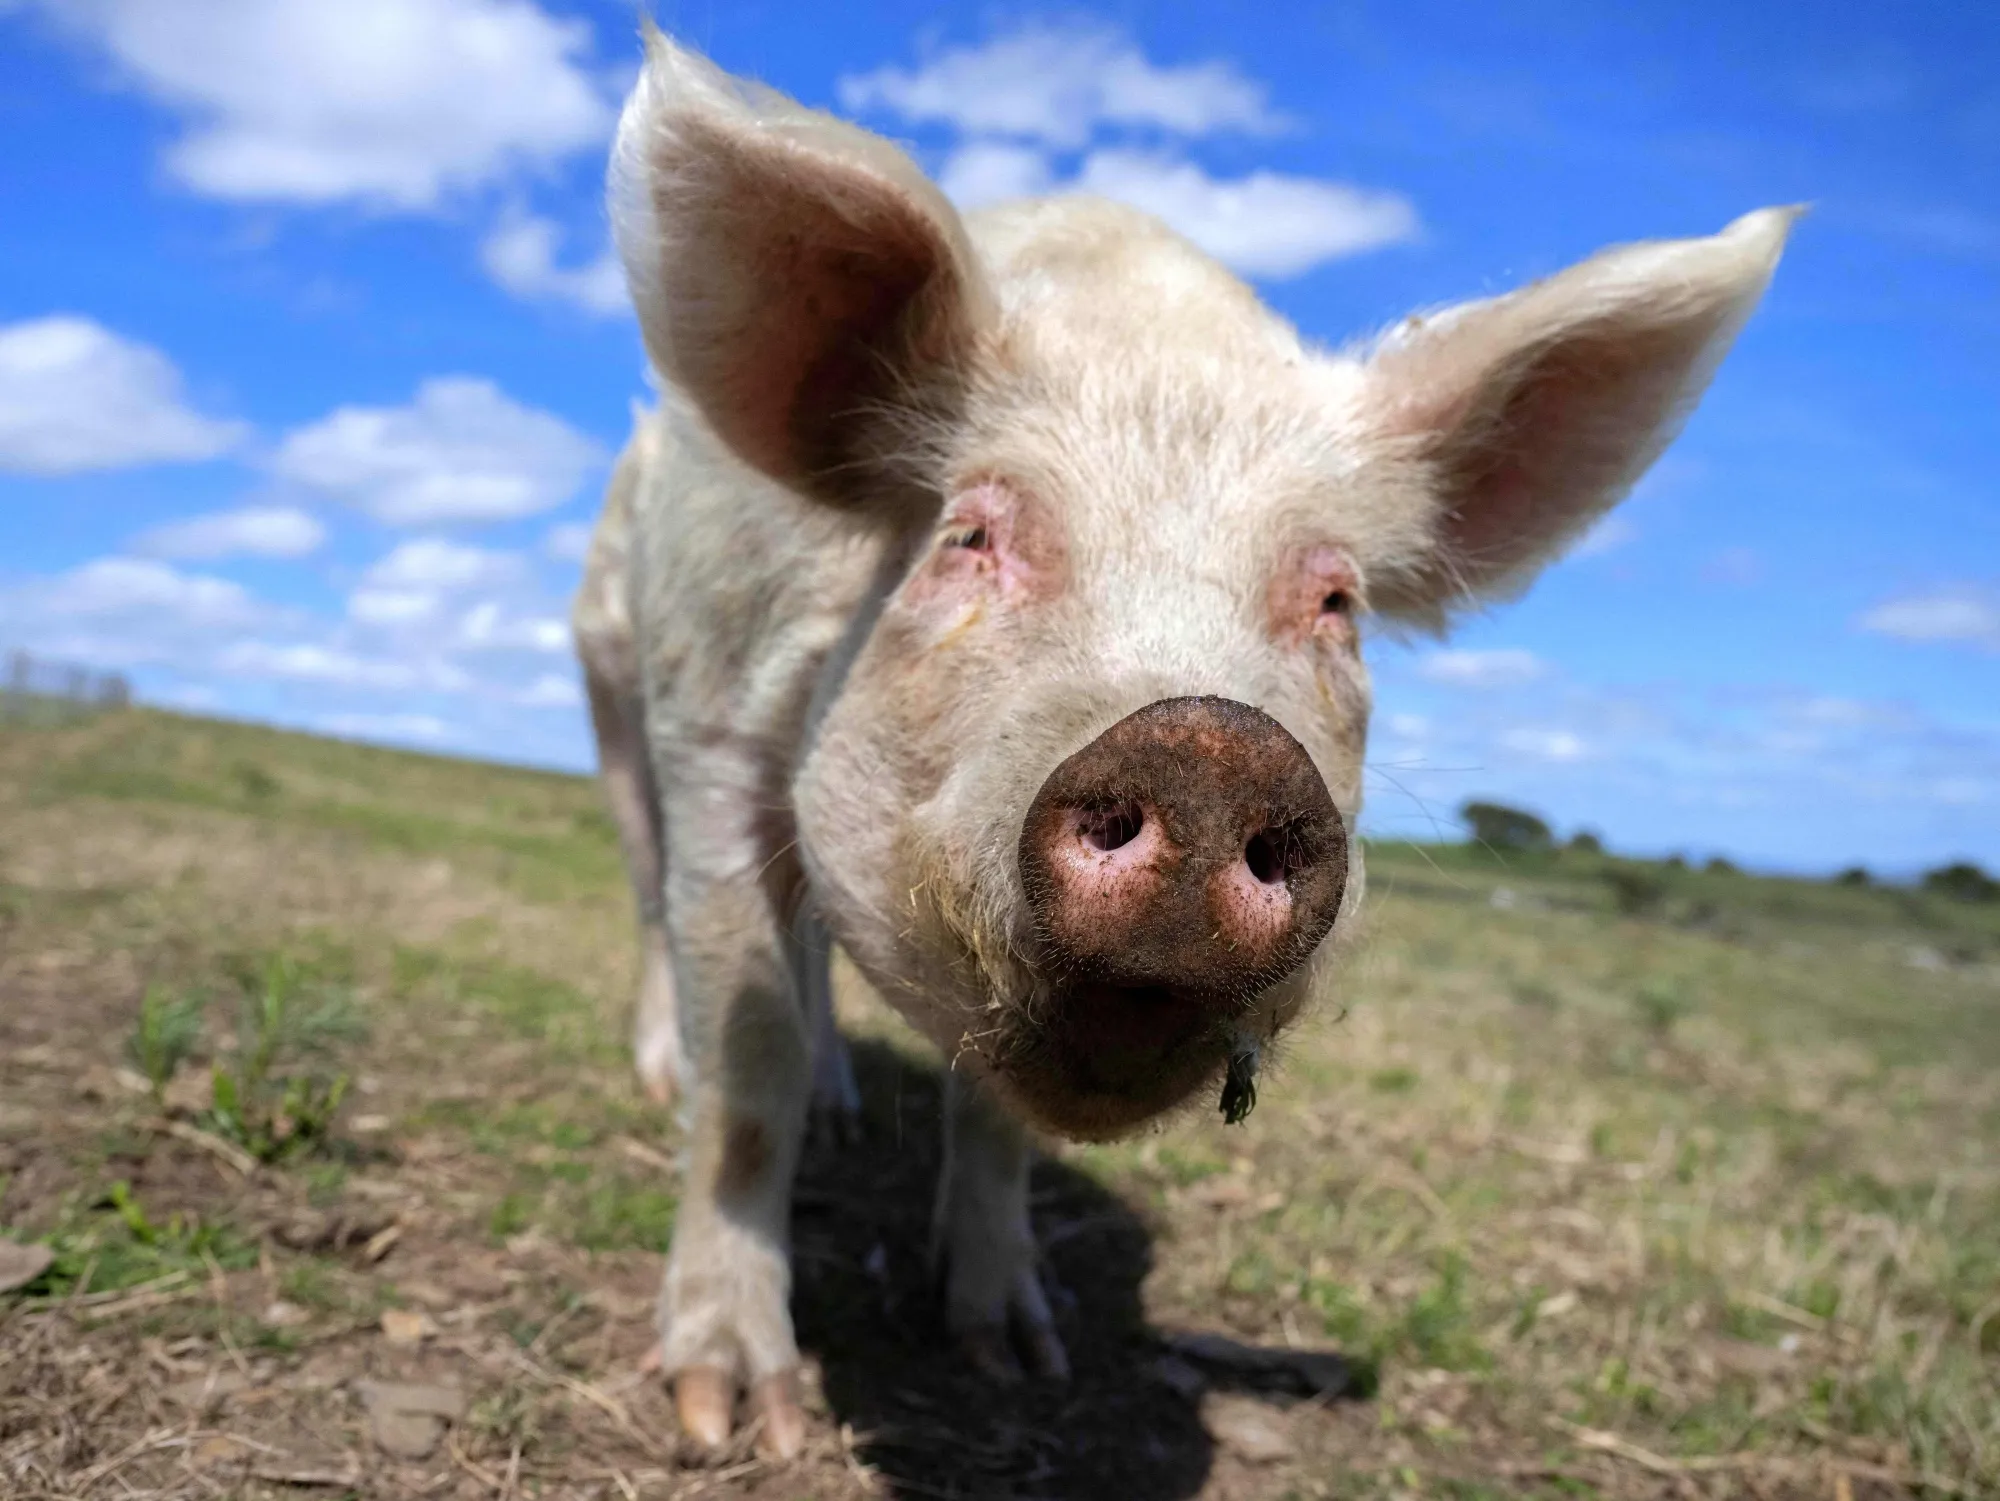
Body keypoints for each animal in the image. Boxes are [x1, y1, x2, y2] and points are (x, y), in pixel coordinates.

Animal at [570, 26, 1795, 1459]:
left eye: (1336, 602)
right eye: (969, 533)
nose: (1211, 747)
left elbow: (989, 1116)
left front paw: (1013, 1355)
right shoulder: (709, 716)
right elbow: (745, 1069)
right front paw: (731, 1415)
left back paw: (846, 1109)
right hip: (607, 678)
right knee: (650, 894)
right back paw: (666, 1075)